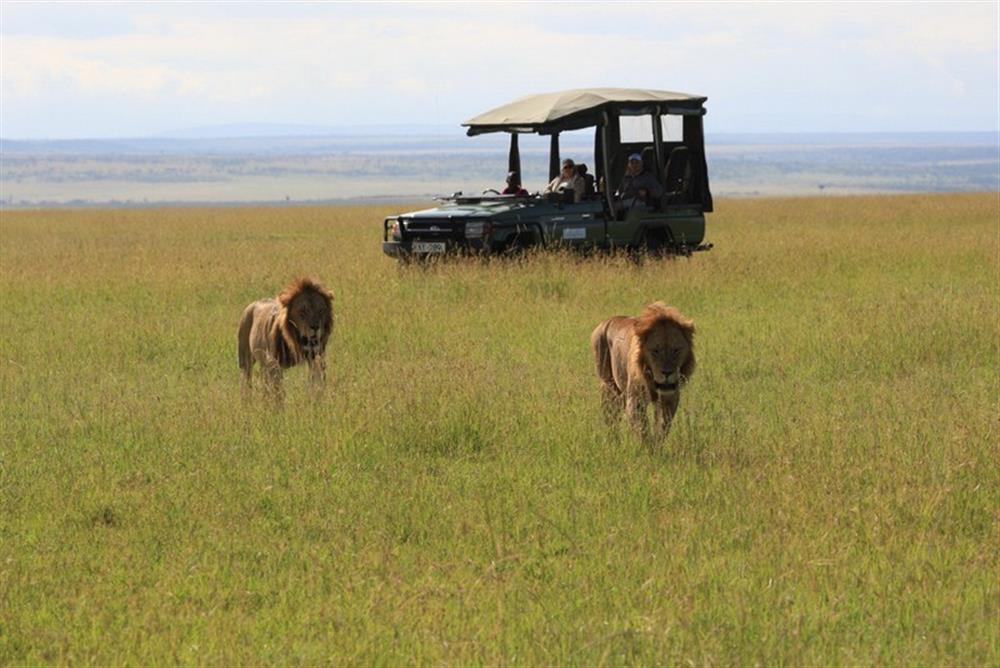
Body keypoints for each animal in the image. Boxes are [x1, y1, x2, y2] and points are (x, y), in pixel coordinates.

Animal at [584, 304, 696, 444]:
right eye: (655, 350)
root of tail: (605, 321)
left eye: (676, 349)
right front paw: (649, 448)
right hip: (608, 387)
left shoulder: (668, 400)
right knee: (611, 419)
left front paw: (658, 446)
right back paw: (614, 442)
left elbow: (661, 429)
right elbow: (643, 433)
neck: (651, 379)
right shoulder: (635, 402)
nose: (667, 373)